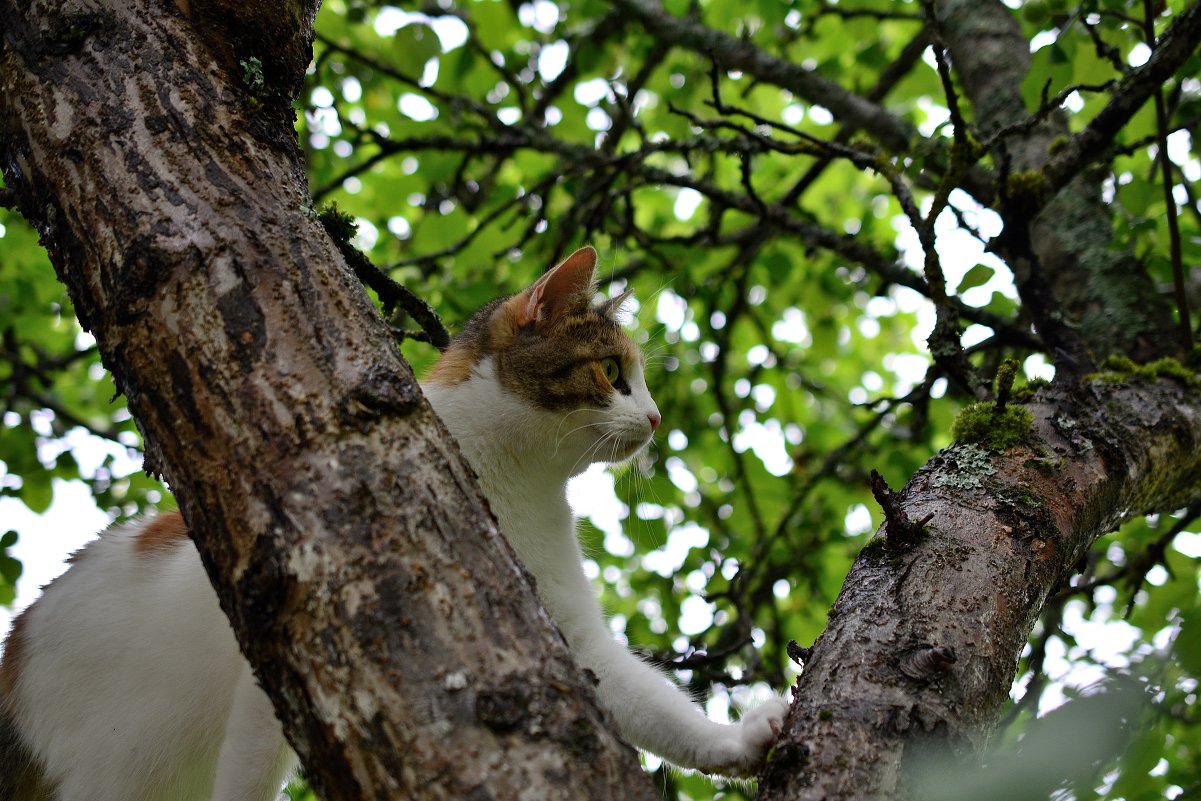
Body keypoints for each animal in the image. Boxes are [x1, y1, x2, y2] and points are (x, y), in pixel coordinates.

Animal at [0, 247, 787, 797]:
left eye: (643, 381)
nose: (654, 419)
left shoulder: (568, 628)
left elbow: (651, 705)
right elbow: (250, 772)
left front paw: (738, 741)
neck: (517, 478)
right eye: (614, 374)